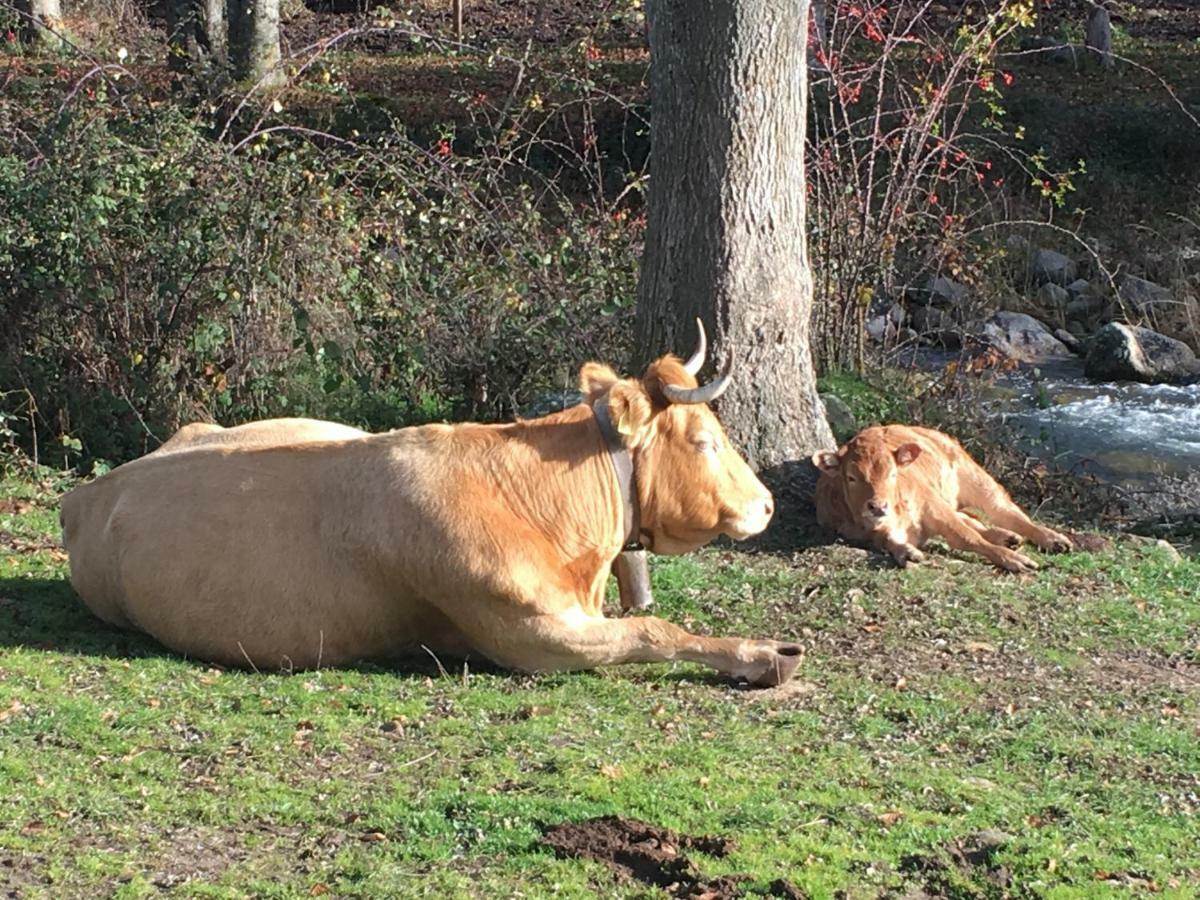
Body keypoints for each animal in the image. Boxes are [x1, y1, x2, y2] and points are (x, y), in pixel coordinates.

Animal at [60, 331, 801, 681]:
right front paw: (763, 653)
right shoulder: (532, 632)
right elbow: (654, 631)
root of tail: (88, 492)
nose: (767, 505)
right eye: (704, 439)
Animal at [811, 427, 1075, 573]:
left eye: (893, 474)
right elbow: (888, 542)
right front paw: (907, 552)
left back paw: (1053, 539)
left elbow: (967, 536)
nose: (877, 506)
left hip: (977, 480)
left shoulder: (933, 506)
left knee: (1009, 514)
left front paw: (1015, 560)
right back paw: (1007, 537)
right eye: (851, 477)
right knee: (972, 517)